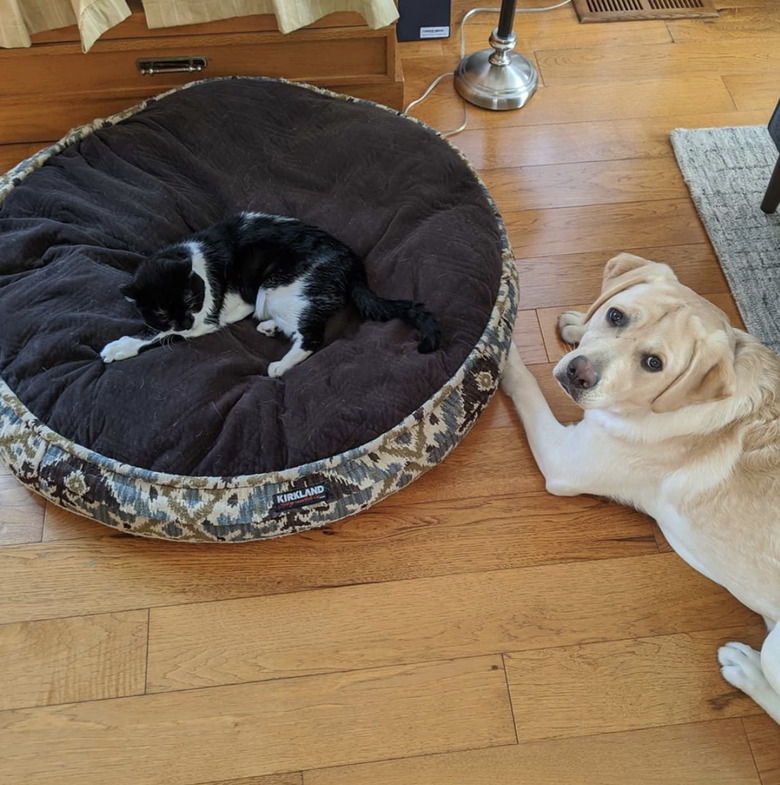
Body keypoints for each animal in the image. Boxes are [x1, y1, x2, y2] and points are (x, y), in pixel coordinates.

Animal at [100, 211, 438, 376]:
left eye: (188, 301)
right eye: (159, 310)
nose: (184, 321)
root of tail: (355, 263)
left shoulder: (208, 317)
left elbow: (163, 335)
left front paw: (119, 347)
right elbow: (163, 331)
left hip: (278, 287)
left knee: (312, 336)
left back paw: (279, 366)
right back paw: (270, 326)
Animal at [502, 251, 780, 724]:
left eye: (654, 364)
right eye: (616, 315)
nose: (578, 373)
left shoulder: (564, 460)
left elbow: (527, 383)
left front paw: (500, 353)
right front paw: (578, 322)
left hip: (777, 649)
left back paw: (744, 668)